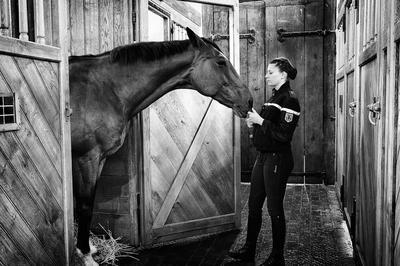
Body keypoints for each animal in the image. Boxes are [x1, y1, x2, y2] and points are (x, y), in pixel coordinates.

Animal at [68, 27, 250, 264]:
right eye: (221, 62)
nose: (249, 101)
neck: (106, 89)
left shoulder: (98, 159)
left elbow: (85, 203)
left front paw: (88, 247)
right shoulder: (87, 157)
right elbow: (85, 205)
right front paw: (85, 254)